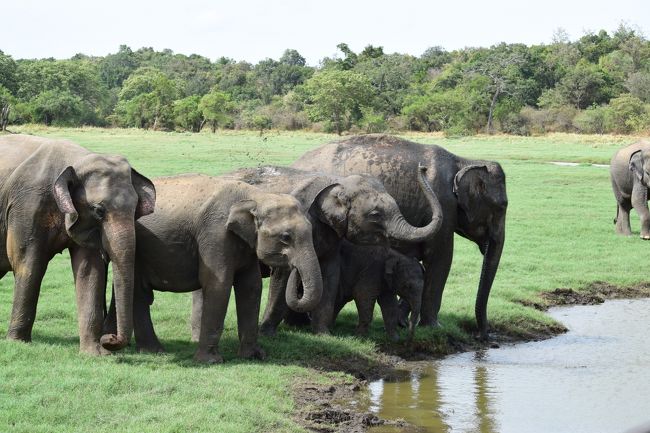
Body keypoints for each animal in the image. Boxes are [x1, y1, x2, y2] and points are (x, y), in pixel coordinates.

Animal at [0, 133, 156, 352]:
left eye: (135, 210)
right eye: (98, 210)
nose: (109, 338)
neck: (77, 161)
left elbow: (89, 270)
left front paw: (94, 353)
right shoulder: (26, 206)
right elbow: (27, 263)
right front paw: (18, 342)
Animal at [189, 164, 440, 336]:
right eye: (375, 215)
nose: (423, 167)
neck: (338, 182)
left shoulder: (331, 235)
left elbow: (329, 274)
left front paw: (323, 333)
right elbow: (282, 277)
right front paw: (266, 332)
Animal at [292, 133, 508, 340]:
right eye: (502, 206)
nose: (482, 336)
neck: (464, 161)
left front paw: (402, 322)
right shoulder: (445, 205)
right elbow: (440, 259)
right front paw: (433, 327)